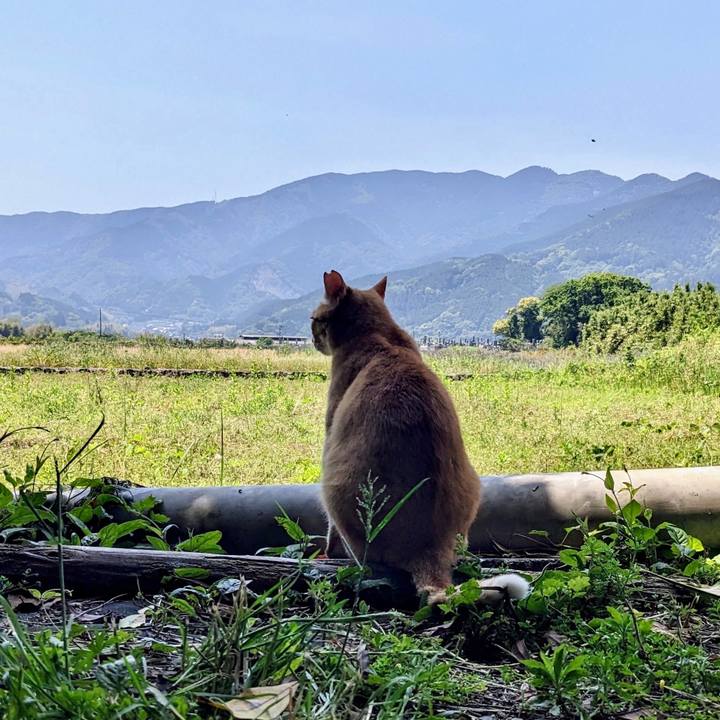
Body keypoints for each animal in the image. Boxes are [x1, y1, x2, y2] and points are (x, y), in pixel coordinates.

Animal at [312, 269, 529, 605]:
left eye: (314, 319)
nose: (311, 337)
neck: (380, 337)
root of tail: (429, 549)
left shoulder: (330, 433)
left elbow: (329, 531)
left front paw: (326, 552)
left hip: (332, 486)